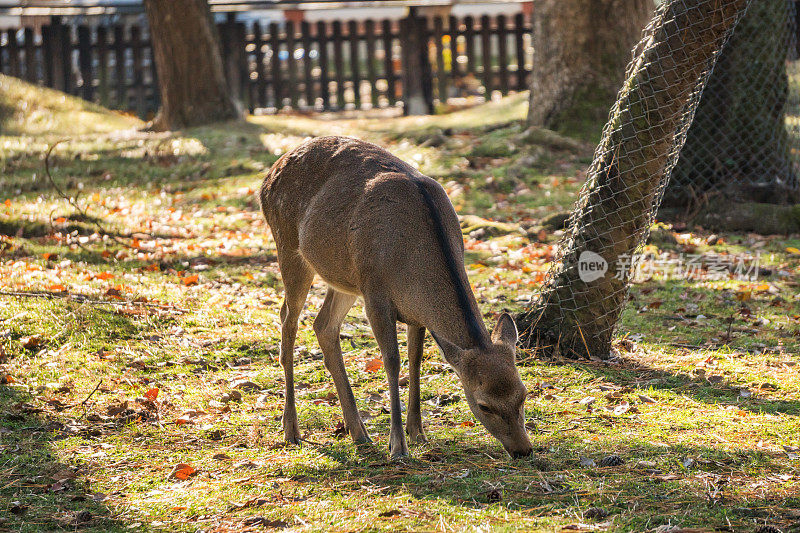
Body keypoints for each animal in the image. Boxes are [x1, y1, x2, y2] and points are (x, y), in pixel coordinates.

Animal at [260, 134, 532, 458]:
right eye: (484, 405)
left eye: (523, 394)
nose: (524, 449)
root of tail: (267, 178)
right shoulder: (376, 294)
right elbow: (392, 360)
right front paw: (397, 445)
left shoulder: (415, 311)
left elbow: (416, 359)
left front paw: (418, 432)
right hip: (289, 246)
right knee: (287, 321)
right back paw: (291, 429)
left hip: (346, 276)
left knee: (323, 324)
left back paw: (358, 432)